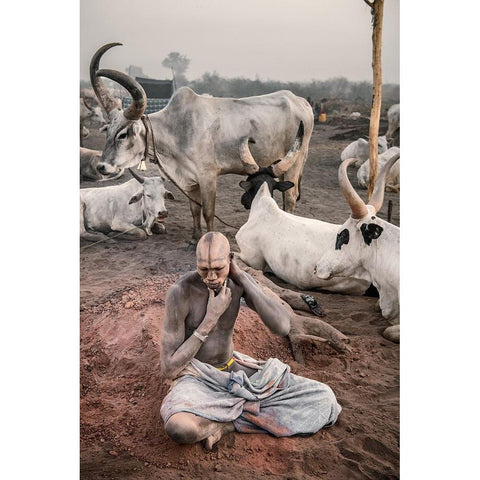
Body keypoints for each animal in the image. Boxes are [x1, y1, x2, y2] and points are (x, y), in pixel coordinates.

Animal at [90, 43, 316, 242]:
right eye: (108, 130)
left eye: (123, 134)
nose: (102, 167)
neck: (178, 129)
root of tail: (301, 101)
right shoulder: (190, 180)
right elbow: (194, 209)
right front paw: (194, 237)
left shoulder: (208, 176)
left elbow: (208, 210)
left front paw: (209, 237)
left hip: (294, 163)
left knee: (290, 196)